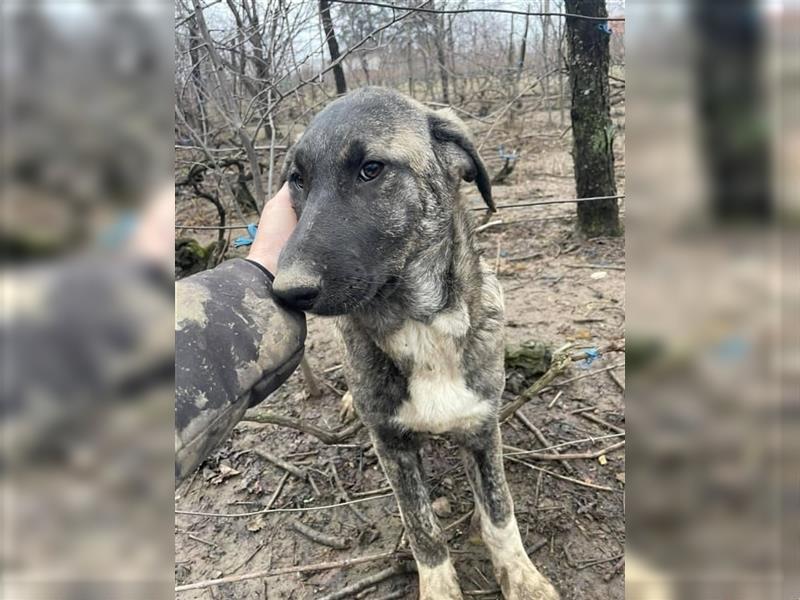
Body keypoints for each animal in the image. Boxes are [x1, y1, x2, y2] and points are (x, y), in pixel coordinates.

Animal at [272, 85, 560, 600]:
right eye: (297, 180)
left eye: (371, 169)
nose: (285, 290)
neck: (420, 325)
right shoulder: (393, 447)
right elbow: (423, 528)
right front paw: (440, 587)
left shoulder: (483, 428)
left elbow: (499, 513)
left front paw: (523, 579)